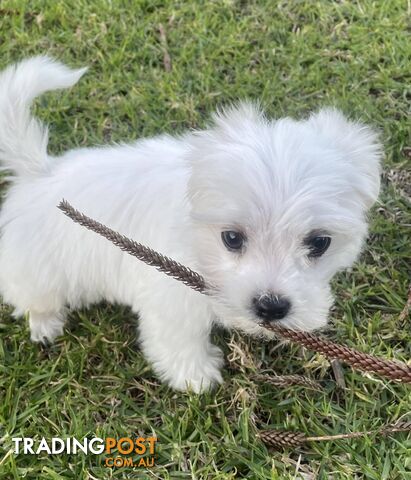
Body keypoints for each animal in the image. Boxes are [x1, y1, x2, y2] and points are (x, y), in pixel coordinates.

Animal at [0, 58, 384, 392]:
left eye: (319, 243)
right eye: (232, 238)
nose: (271, 307)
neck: (197, 244)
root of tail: (40, 171)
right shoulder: (170, 297)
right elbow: (178, 339)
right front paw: (196, 377)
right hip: (38, 269)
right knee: (31, 295)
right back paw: (45, 323)